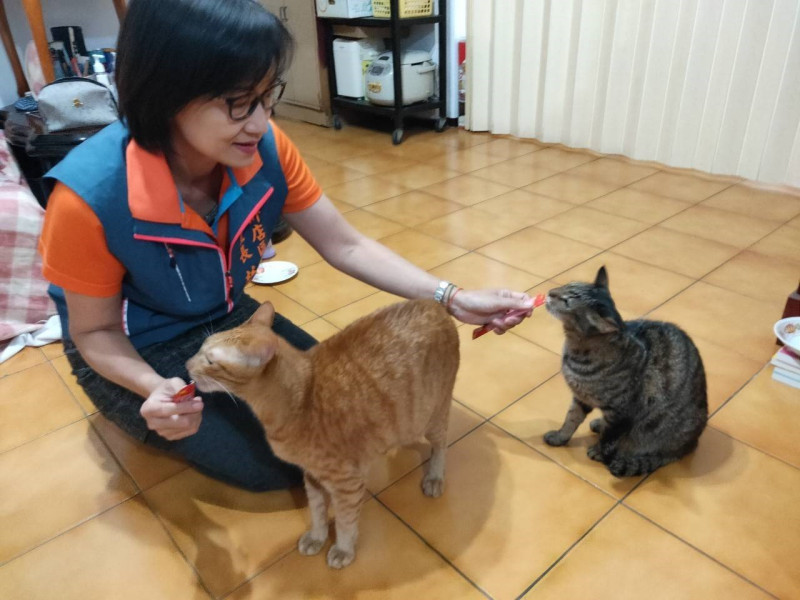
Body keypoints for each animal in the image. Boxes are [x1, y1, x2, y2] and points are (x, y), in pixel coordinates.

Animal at [183, 298, 456, 568]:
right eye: (201, 347)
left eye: (210, 361)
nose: (186, 364)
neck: (301, 398)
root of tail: (432, 303)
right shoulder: (312, 476)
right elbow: (317, 511)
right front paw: (317, 537)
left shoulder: (347, 484)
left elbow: (345, 521)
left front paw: (344, 549)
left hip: (430, 417)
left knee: (441, 444)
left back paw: (435, 476)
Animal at [544, 268, 708, 478]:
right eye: (567, 284)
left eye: (567, 300)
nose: (549, 292)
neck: (575, 351)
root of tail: (691, 444)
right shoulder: (581, 397)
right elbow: (570, 420)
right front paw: (559, 437)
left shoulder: (621, 412)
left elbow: (609, 438)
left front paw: (598, 451)